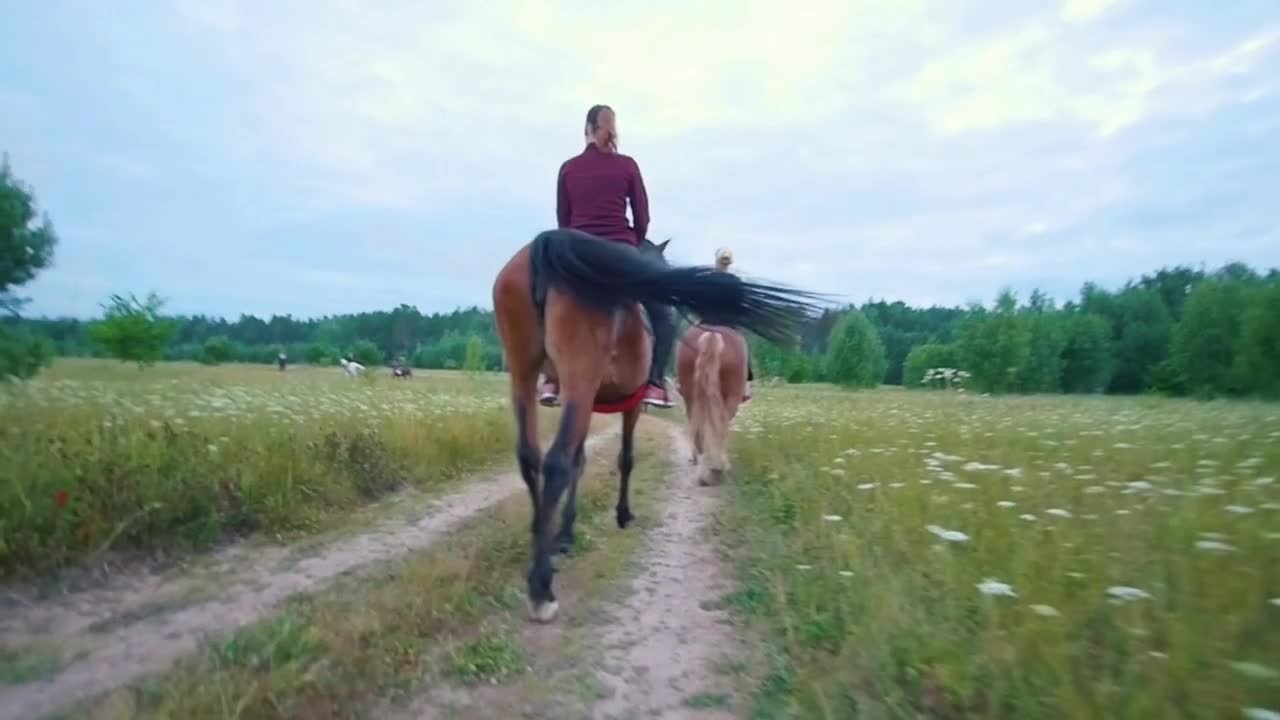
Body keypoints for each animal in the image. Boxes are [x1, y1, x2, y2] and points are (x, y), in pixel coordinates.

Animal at [675, 322, 747, 484]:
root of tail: (712, 335)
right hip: (731, 397)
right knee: (720, 423)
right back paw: (715, 468)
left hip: (692, 395)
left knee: (698, 423)